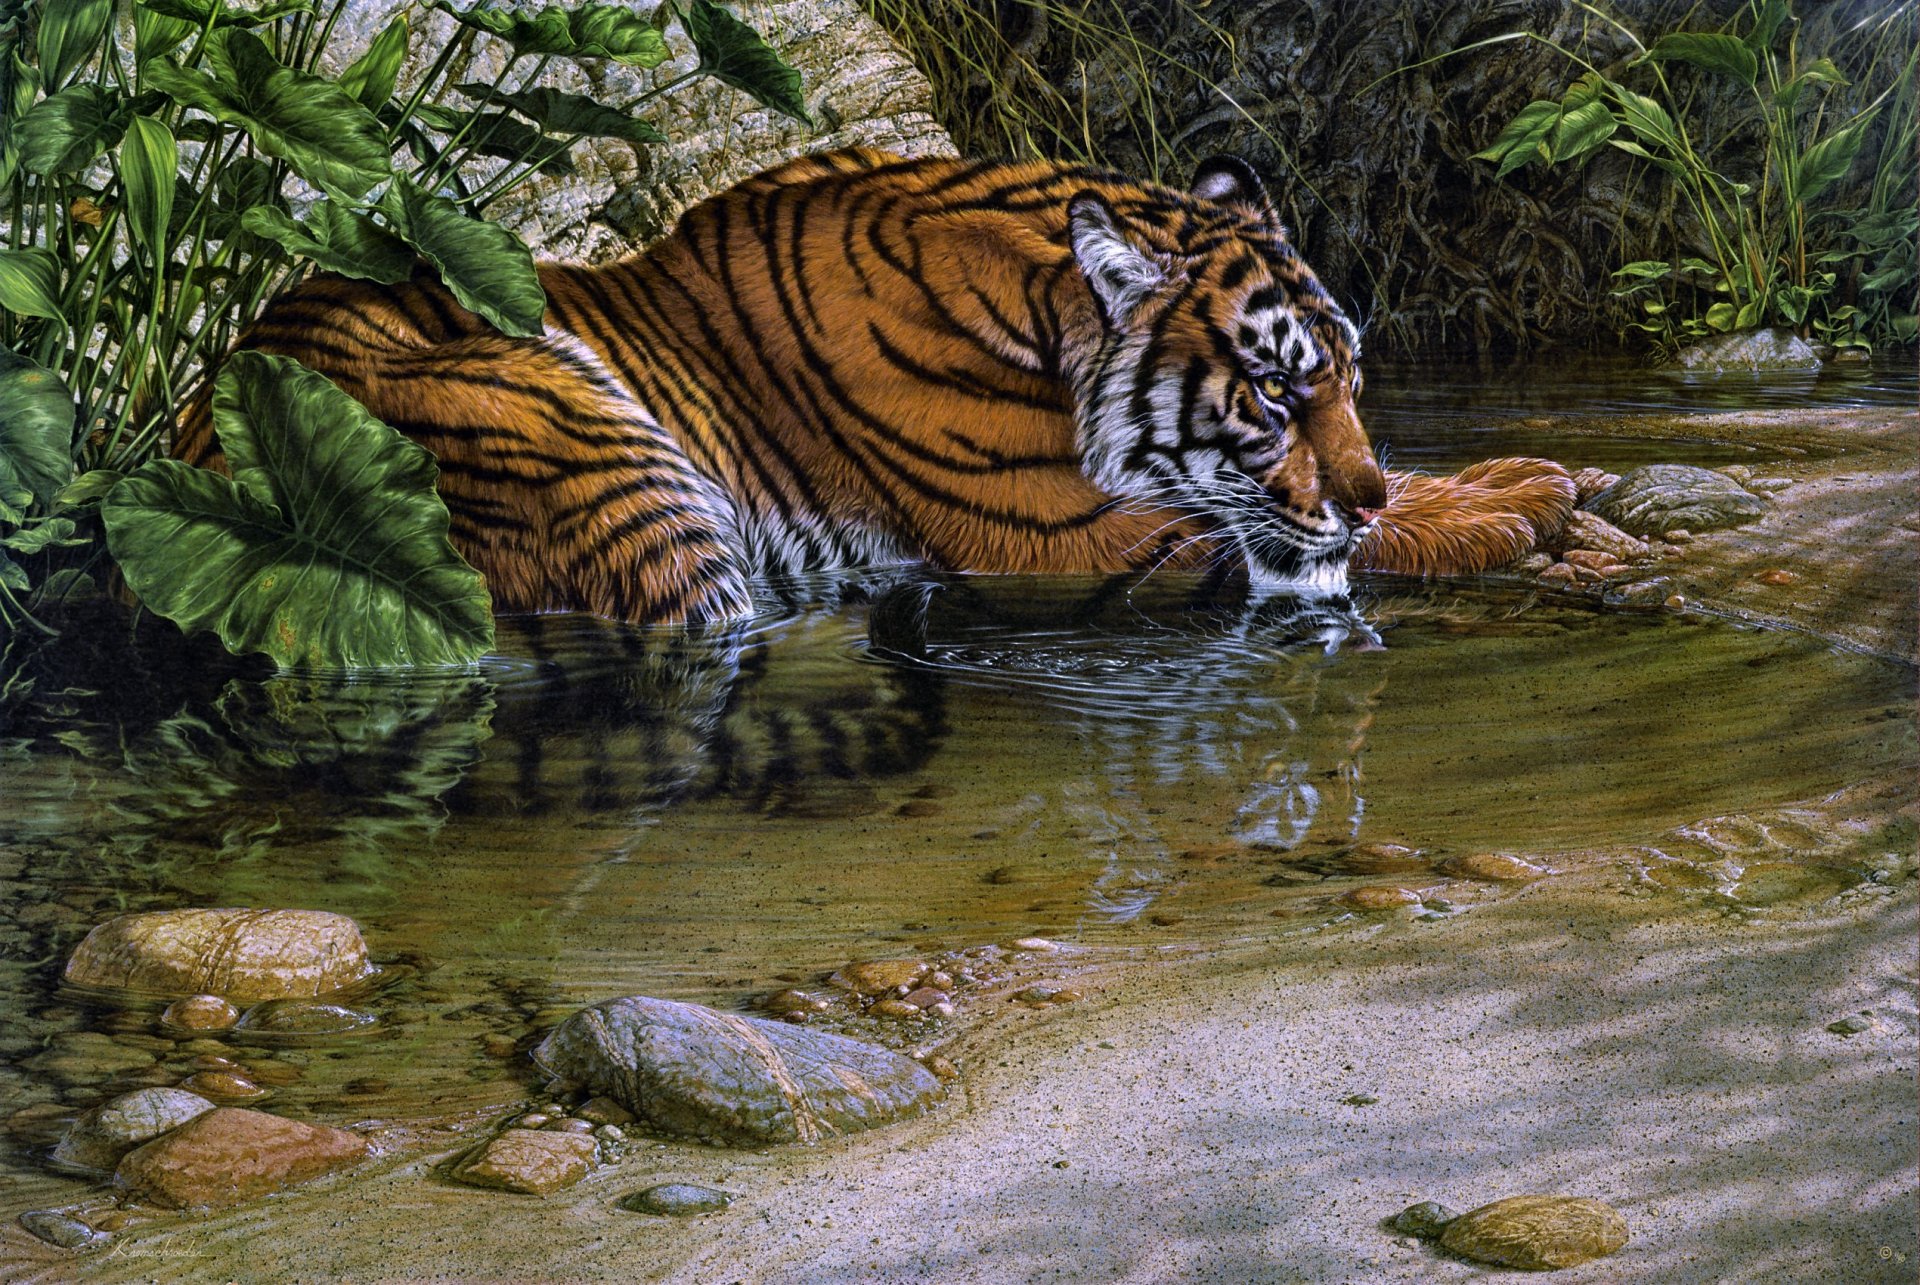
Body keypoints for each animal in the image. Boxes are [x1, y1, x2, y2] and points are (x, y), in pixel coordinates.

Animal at [177, 148, 1574, 625]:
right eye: (1279, 398)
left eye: (1354, 383)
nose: (1365, 489)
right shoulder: (1076, 539)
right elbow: (1313, 542)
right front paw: (1518, 499)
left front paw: (1529, 474)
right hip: (591, 448)